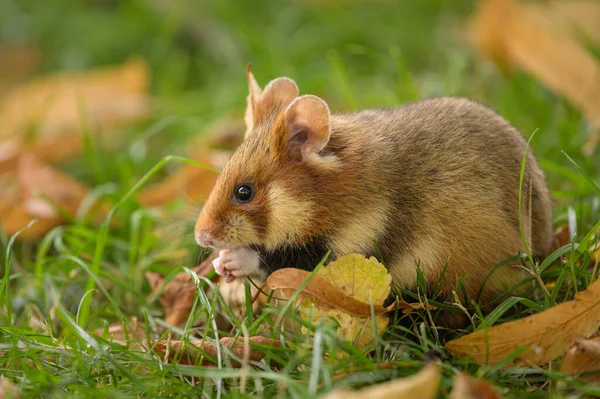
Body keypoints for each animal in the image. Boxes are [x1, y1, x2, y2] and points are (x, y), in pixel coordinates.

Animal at [196, 64, 552, 324]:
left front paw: (230, 260)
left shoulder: (350, 247)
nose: (201, 237)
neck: (326, 197)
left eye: (244, 192)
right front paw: (221, 266)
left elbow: (274, 259)